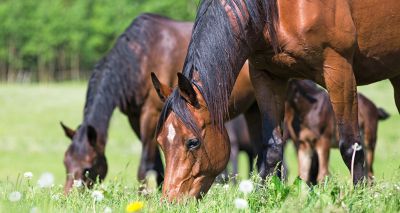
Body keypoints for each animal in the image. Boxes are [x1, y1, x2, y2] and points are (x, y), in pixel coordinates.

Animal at [59, 13, 194, 193]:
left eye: (88, 167)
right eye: (66, 163)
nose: (69, 195)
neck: (143, 56)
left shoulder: (152, 113)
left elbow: (146, 163)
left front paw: (144, 195)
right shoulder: (134, 117)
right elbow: (156, 162)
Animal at [153, 0, 400, 200]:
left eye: (193, 142)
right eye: (161, 142)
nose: (171, 201)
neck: (277, 10)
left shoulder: (339, 70)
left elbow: (350, 145)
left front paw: (360, 197)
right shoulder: (266, 76)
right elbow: (271, 148)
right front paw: (261, 198)